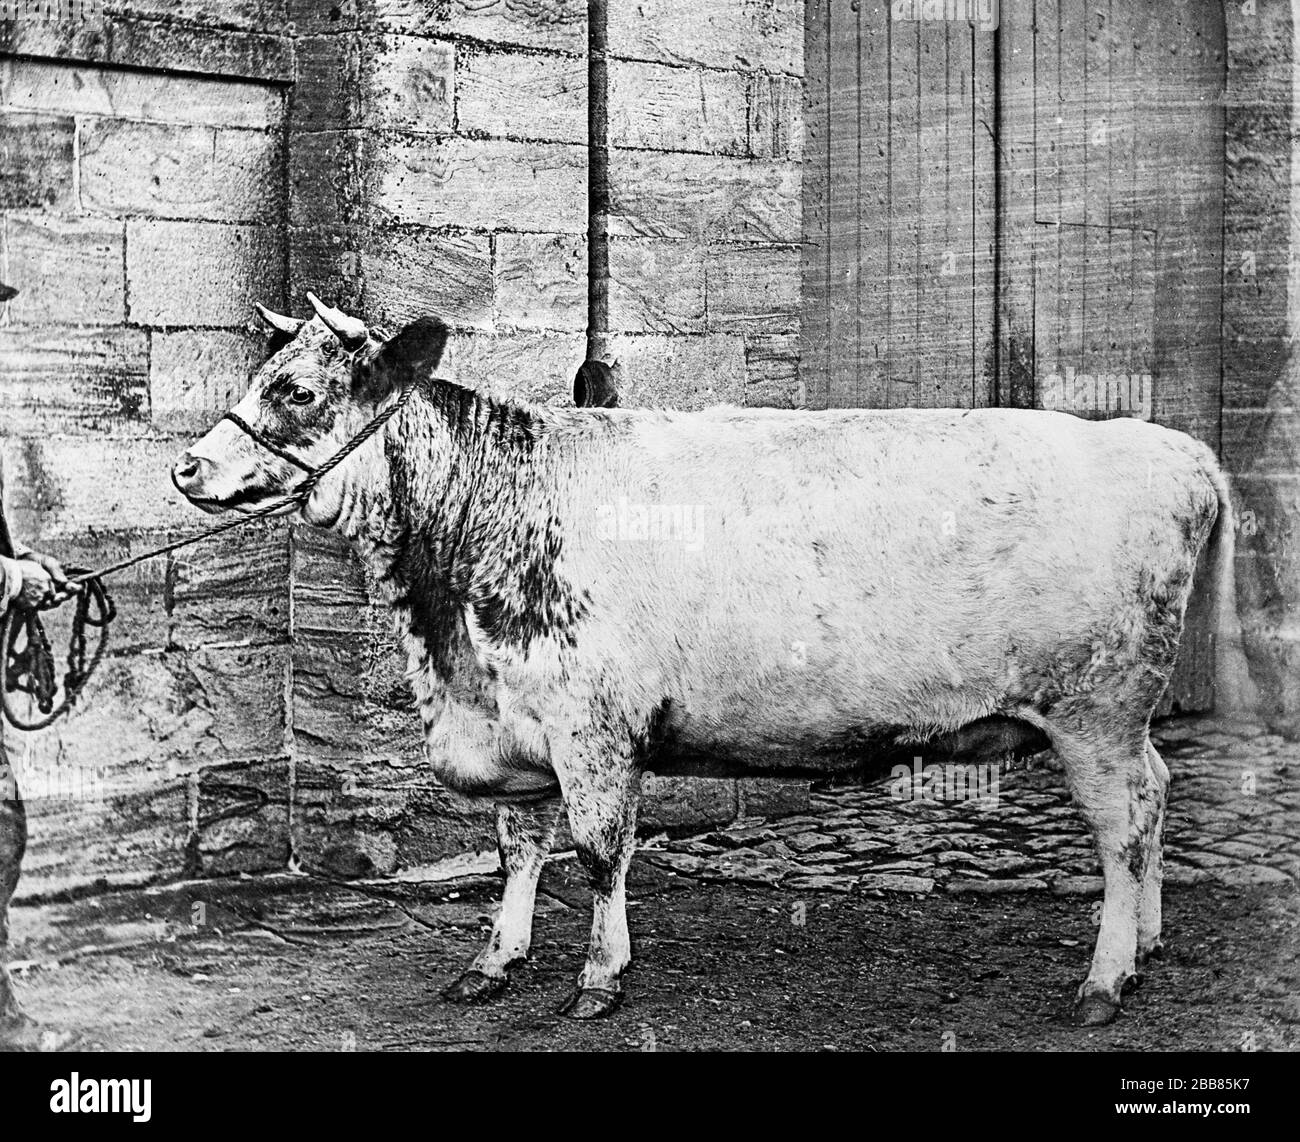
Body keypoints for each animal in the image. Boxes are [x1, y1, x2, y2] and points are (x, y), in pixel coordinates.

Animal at [172, 295, 1237, 1030]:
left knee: (1124, 825)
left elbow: (600, 851)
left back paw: (1104, 979)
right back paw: (1145, 944)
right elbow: (519, 852)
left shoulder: (594, 726)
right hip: (1120, 718)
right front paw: (494, 964)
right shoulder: (516, 726)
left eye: (298, 391)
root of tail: (1175, 451)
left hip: (1097, 710)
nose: (186, 468)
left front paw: (598, 980)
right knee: (1158, 795)